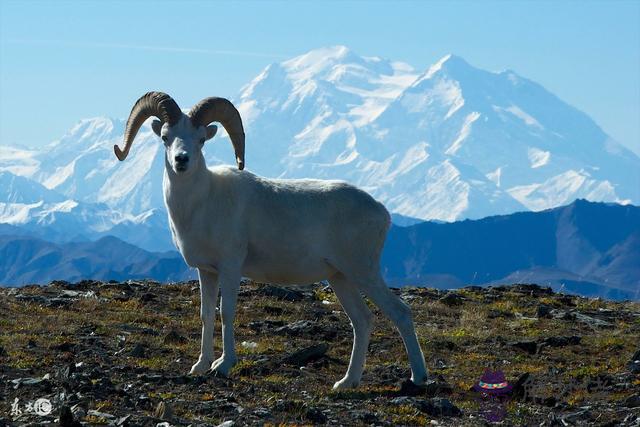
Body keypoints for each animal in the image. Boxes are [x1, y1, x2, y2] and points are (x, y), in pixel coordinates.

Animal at [114, 92, 430, 390]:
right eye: (165, 138)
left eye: (201, 140)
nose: (182, 160)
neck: (202, 203)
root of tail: (381, 212)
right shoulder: (207, 271)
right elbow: (206, 314)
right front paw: (200, 366)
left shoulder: (231, 268)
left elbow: (226, 313)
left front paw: (223, 365)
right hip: (340, 278)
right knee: (362, 321)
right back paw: (346, 382)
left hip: (362, 271)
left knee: (400, 313)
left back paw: (418, 378)